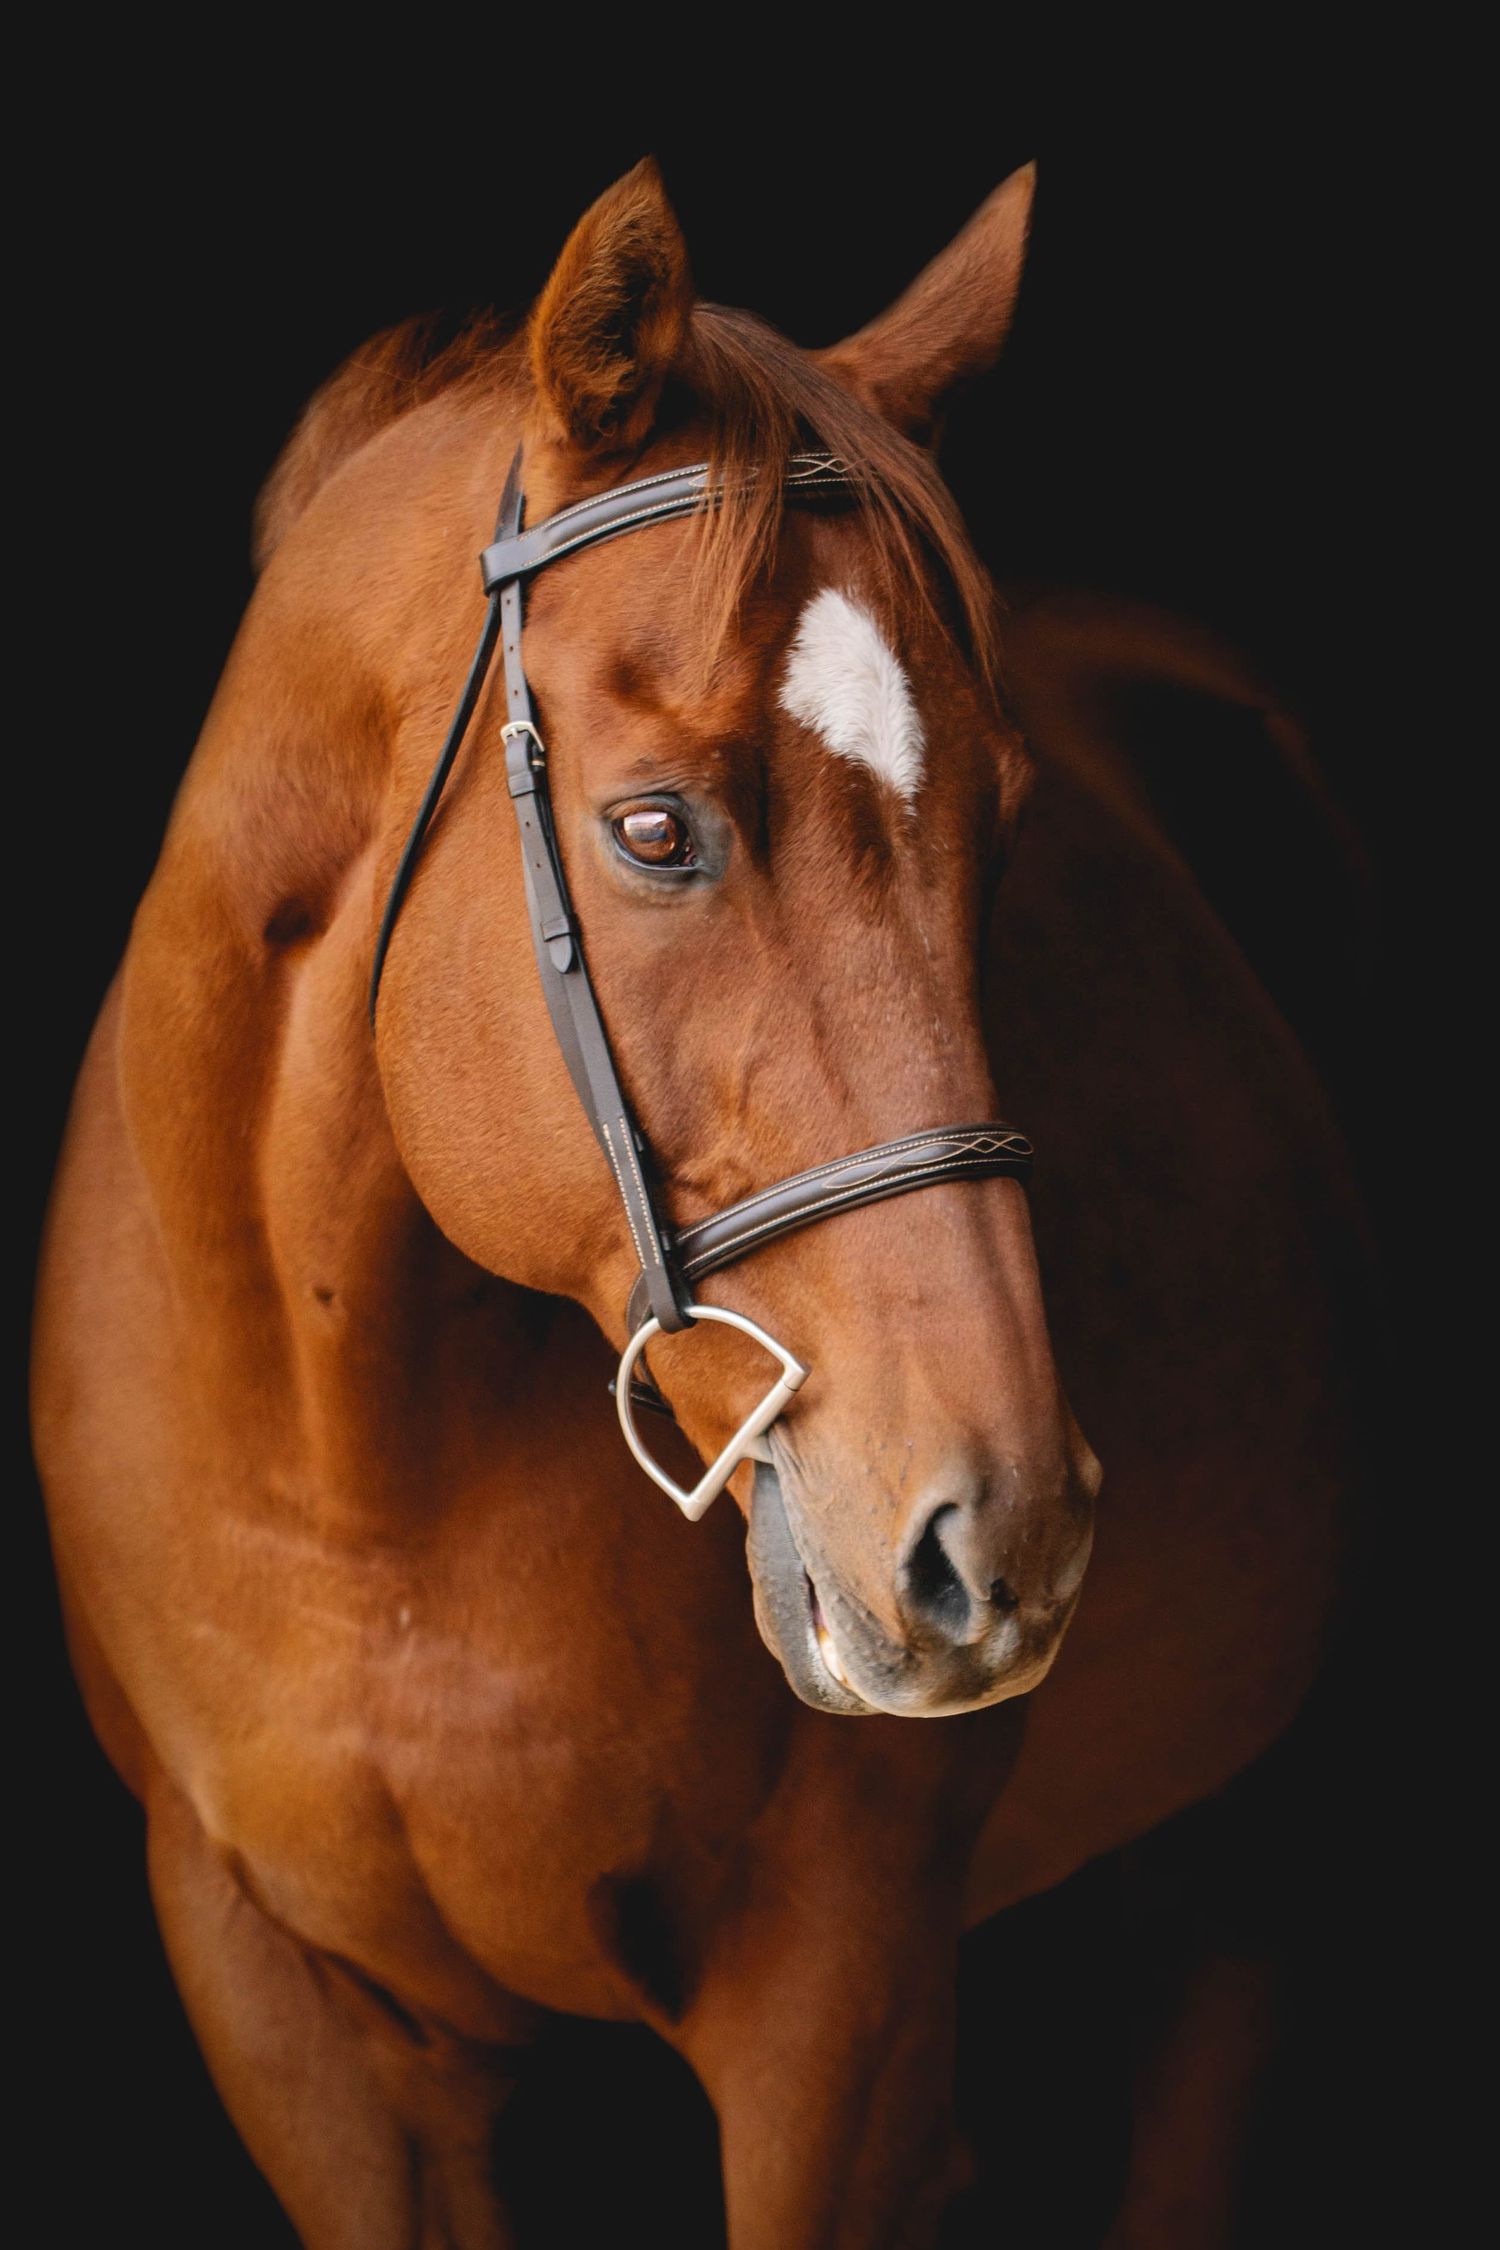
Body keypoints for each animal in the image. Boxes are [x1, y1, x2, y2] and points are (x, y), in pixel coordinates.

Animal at [32, 157, 1367, 2247]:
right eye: (657, 830)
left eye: (1004, 825)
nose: (1002, 1529)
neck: (353, 1474)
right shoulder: (296, 2024)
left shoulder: (839, 2028)